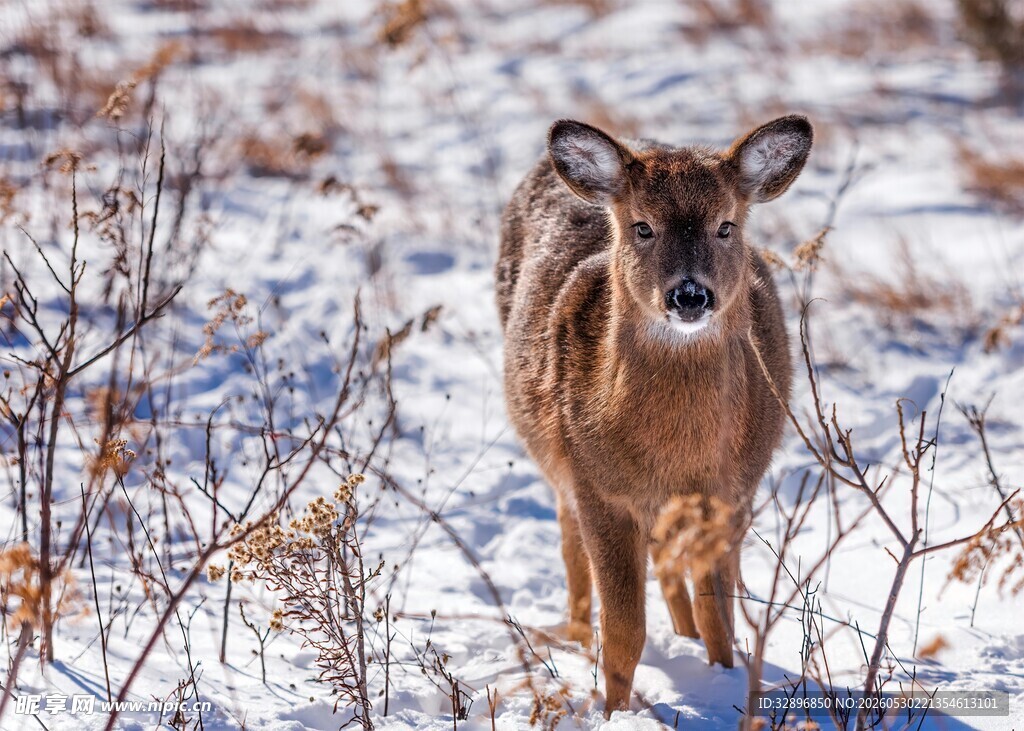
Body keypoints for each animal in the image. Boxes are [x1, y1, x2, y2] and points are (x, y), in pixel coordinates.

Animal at [495, 115, 812, 714]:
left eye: (725, 226)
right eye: (642, 227)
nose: (689, 295)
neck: (676, 455)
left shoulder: (731, 495)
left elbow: (719, 615)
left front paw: (722, 680)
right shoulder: (600, 489)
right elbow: (623, 629)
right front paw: (614, 709)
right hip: (562, 465)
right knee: (572, 550)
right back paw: (575, 637)